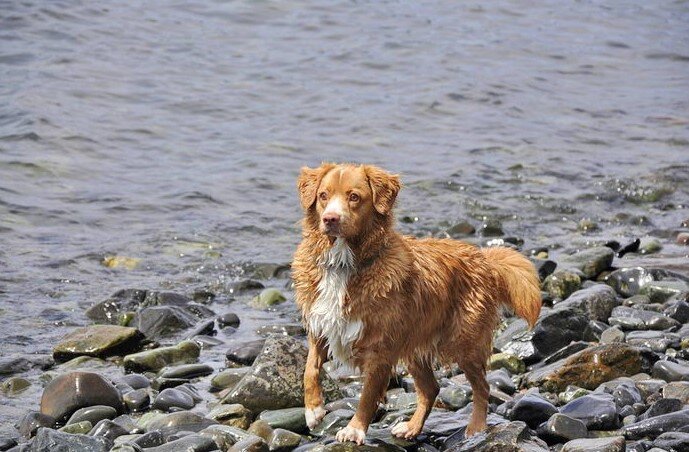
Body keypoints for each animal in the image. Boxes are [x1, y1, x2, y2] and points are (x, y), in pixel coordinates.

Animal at [292, 163, 544, 444]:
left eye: (354, 197)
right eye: (323, 196)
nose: (330, 219)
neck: (344, 264)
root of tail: (483, 259)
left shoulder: (380, 347)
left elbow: (367, 396)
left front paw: (354, 428)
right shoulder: (321, 325)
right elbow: (310, 369)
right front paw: (313, 410)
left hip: (464, 341)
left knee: (482, 386)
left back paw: (476, 427)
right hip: (414, 344)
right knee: (431, 388)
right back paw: (412, 427)